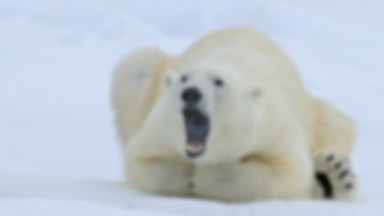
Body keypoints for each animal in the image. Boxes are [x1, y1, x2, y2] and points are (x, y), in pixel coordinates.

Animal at [111, 27, 356, 202]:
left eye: (218, 82)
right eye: (184, 78)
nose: (191, 93)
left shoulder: (272, 124)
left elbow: (288, 171)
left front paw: (203, 179)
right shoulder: (161, 128)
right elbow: (141, 160)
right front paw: (186, 175)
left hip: (313, 113)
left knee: (336, 124)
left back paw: (334, 174)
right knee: (135, 68)